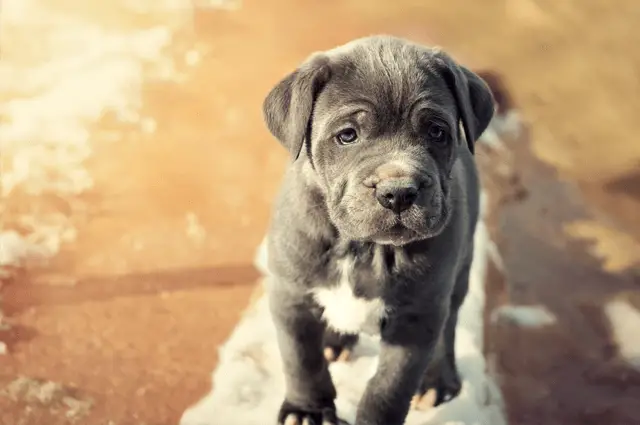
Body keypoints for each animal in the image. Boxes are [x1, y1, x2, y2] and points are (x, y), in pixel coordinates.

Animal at [262, 35, 492, 424]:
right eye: (347, 136)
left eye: (437, 132)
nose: (398, 192)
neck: (363, 247)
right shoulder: (290, 296)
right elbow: (301, 361)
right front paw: (307, 410)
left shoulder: (416, 318)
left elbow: (389, 387)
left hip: (459, 273)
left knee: (448, 327)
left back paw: (438, 380)